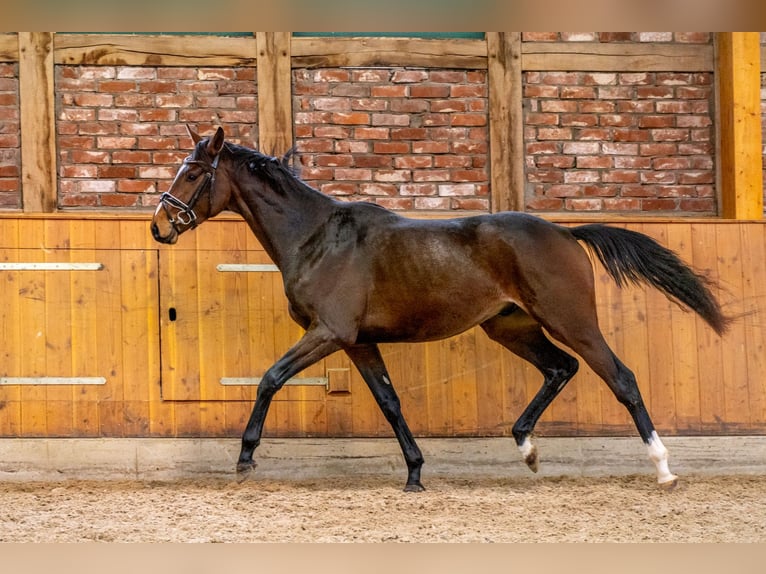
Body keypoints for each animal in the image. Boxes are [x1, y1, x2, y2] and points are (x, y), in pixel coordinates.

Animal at [152, 128, 732, 492]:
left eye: (192, 174)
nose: (158, 226)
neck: (316, 237)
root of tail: (566, 233)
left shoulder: (329, 332)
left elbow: (270, 378)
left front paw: (245, 459)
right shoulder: (359, 341)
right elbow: (390, 403)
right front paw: (414, 475)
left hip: (572, 321)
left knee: (621, 378)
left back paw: (663, 471)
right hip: (511, 328)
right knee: (559, 369)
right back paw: (527, 449)